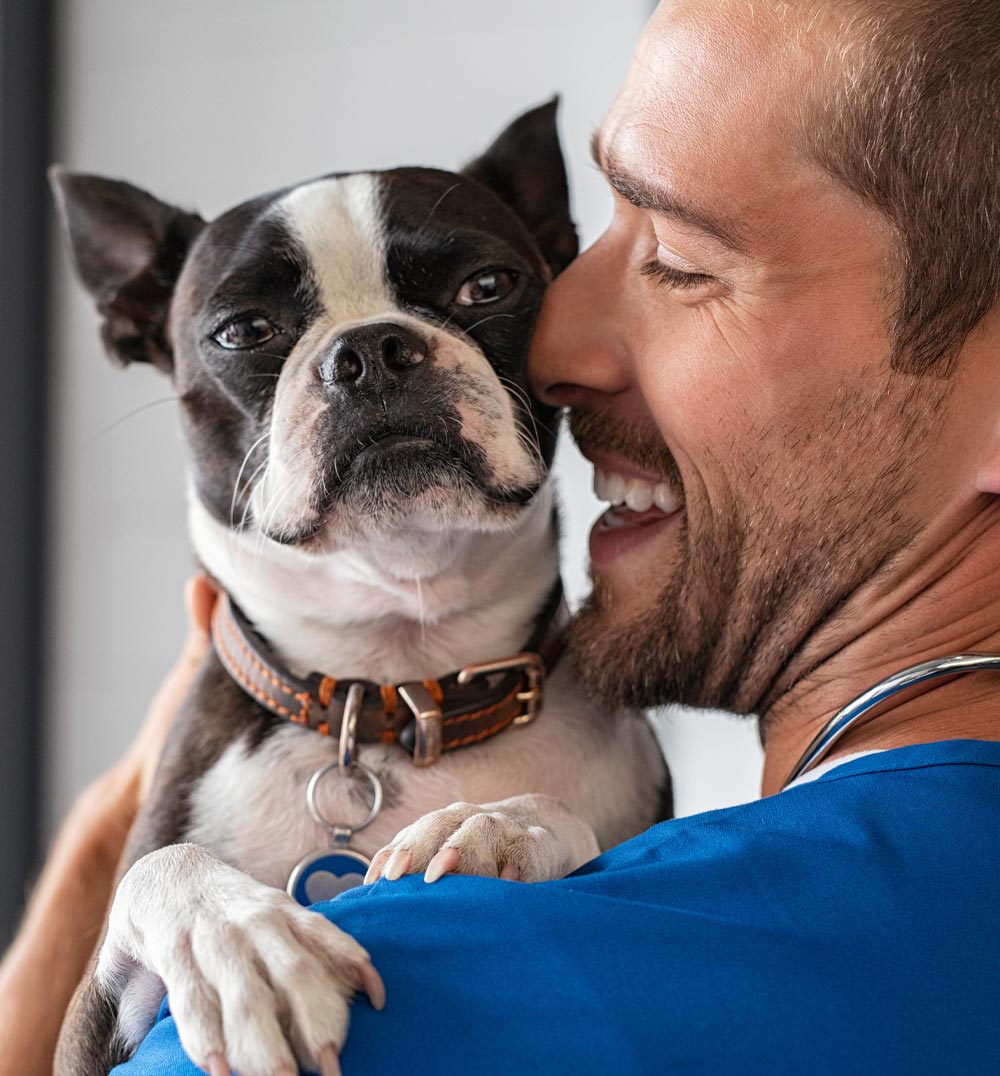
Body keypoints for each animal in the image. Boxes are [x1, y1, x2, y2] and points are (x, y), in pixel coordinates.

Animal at [50, 104, 667, 1076]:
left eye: (488, 286)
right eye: (243, 330)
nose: (373, 348)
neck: (393, 683)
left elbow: (570, 822)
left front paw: (497, 825)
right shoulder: (82, 1031)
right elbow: (163, 868)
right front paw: (240, 942)